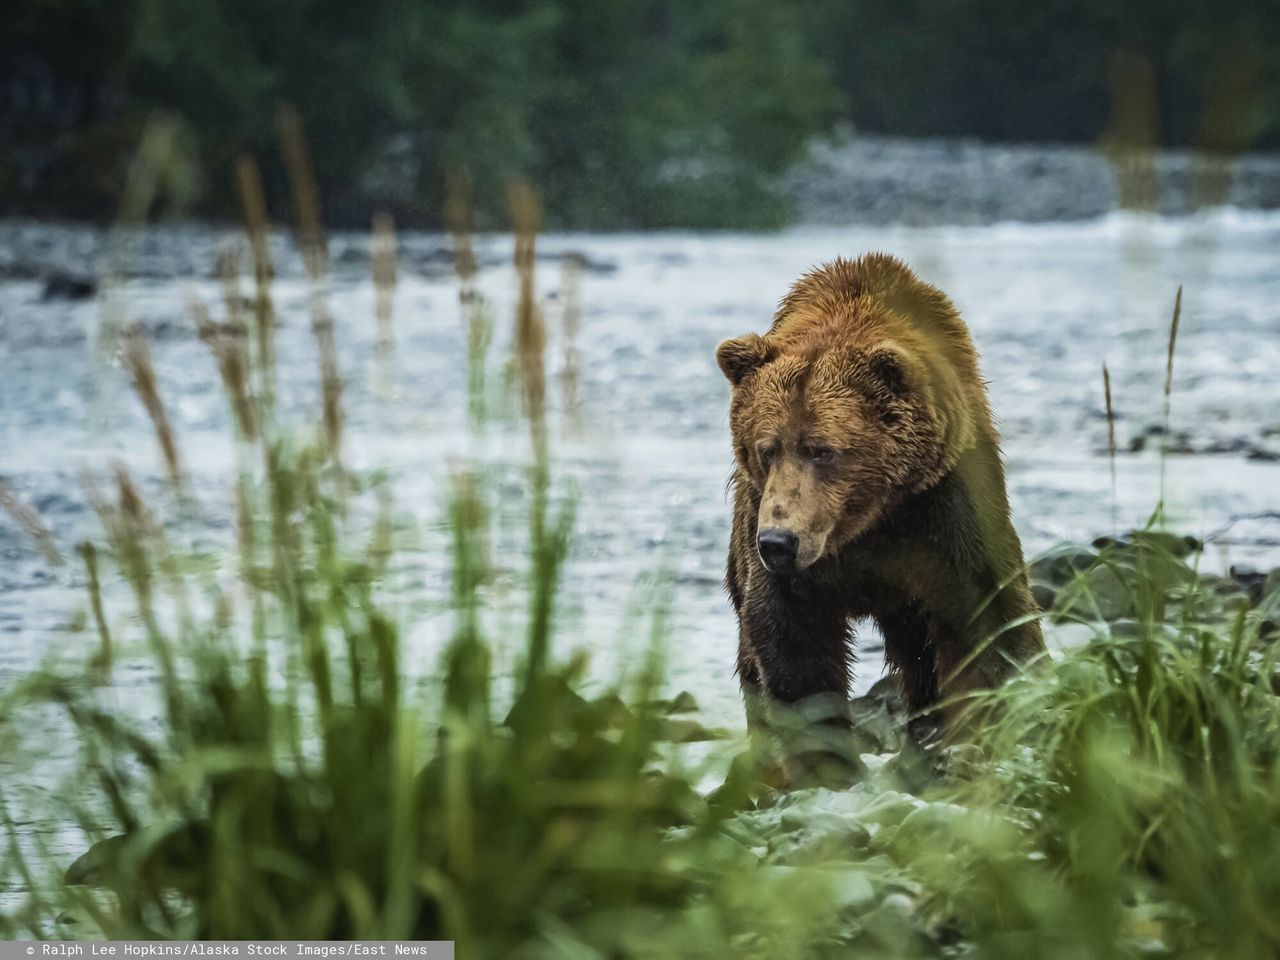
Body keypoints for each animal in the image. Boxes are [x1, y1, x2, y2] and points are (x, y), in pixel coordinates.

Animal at [716, 253, 1044, 773]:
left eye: (823, 450)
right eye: (767, 448)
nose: (779, 542)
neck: (866, 520)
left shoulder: (943, 503)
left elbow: (989, 614)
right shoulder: (769, 527)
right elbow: (789, 636)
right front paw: (824, 761)